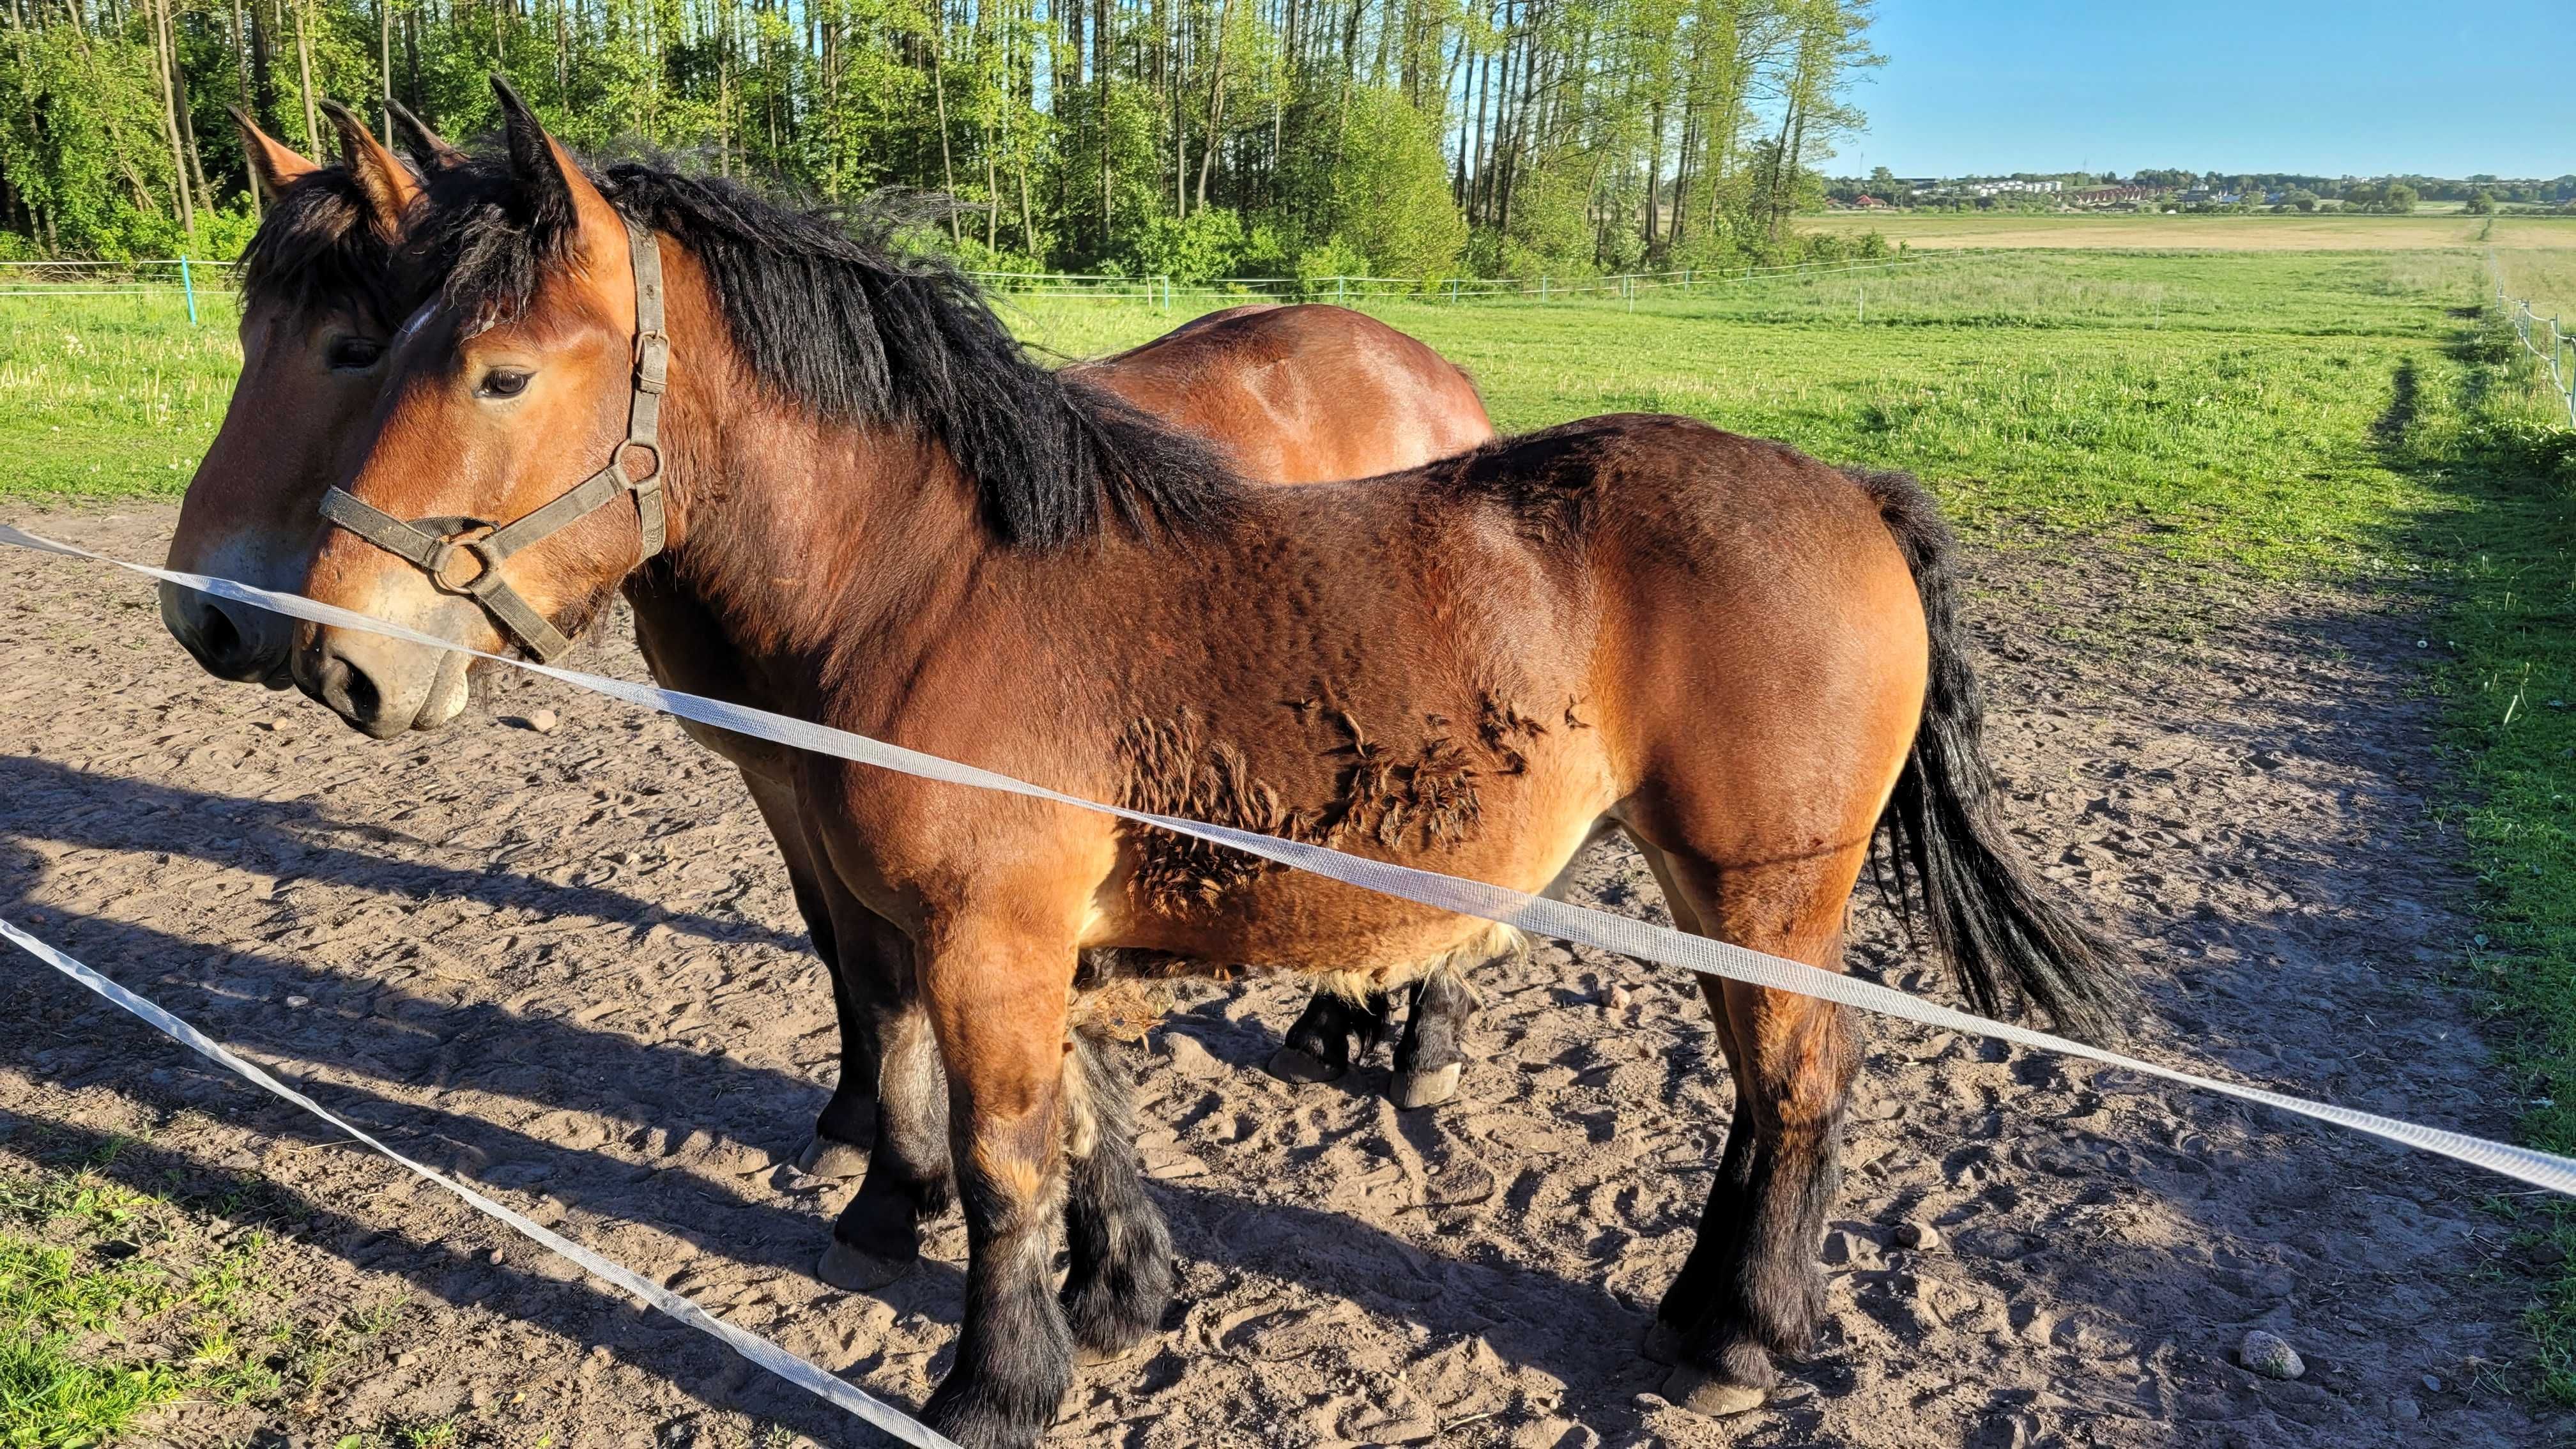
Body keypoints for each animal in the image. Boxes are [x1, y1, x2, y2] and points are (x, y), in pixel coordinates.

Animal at [292, 84, 2122, 1433]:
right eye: (376, 347)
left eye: (498, 371)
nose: (341, 658)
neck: (934, 581)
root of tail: (1849, 493)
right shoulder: (1036, 941)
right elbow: (1085, 1126)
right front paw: (1119, 1299)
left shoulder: (987, 941)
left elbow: (1003, 1157)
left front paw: (993, 1384)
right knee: (1762, 1091)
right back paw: (1700, 1311)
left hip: (1765, 884)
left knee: (1802, 1087)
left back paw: (1743, 1338)